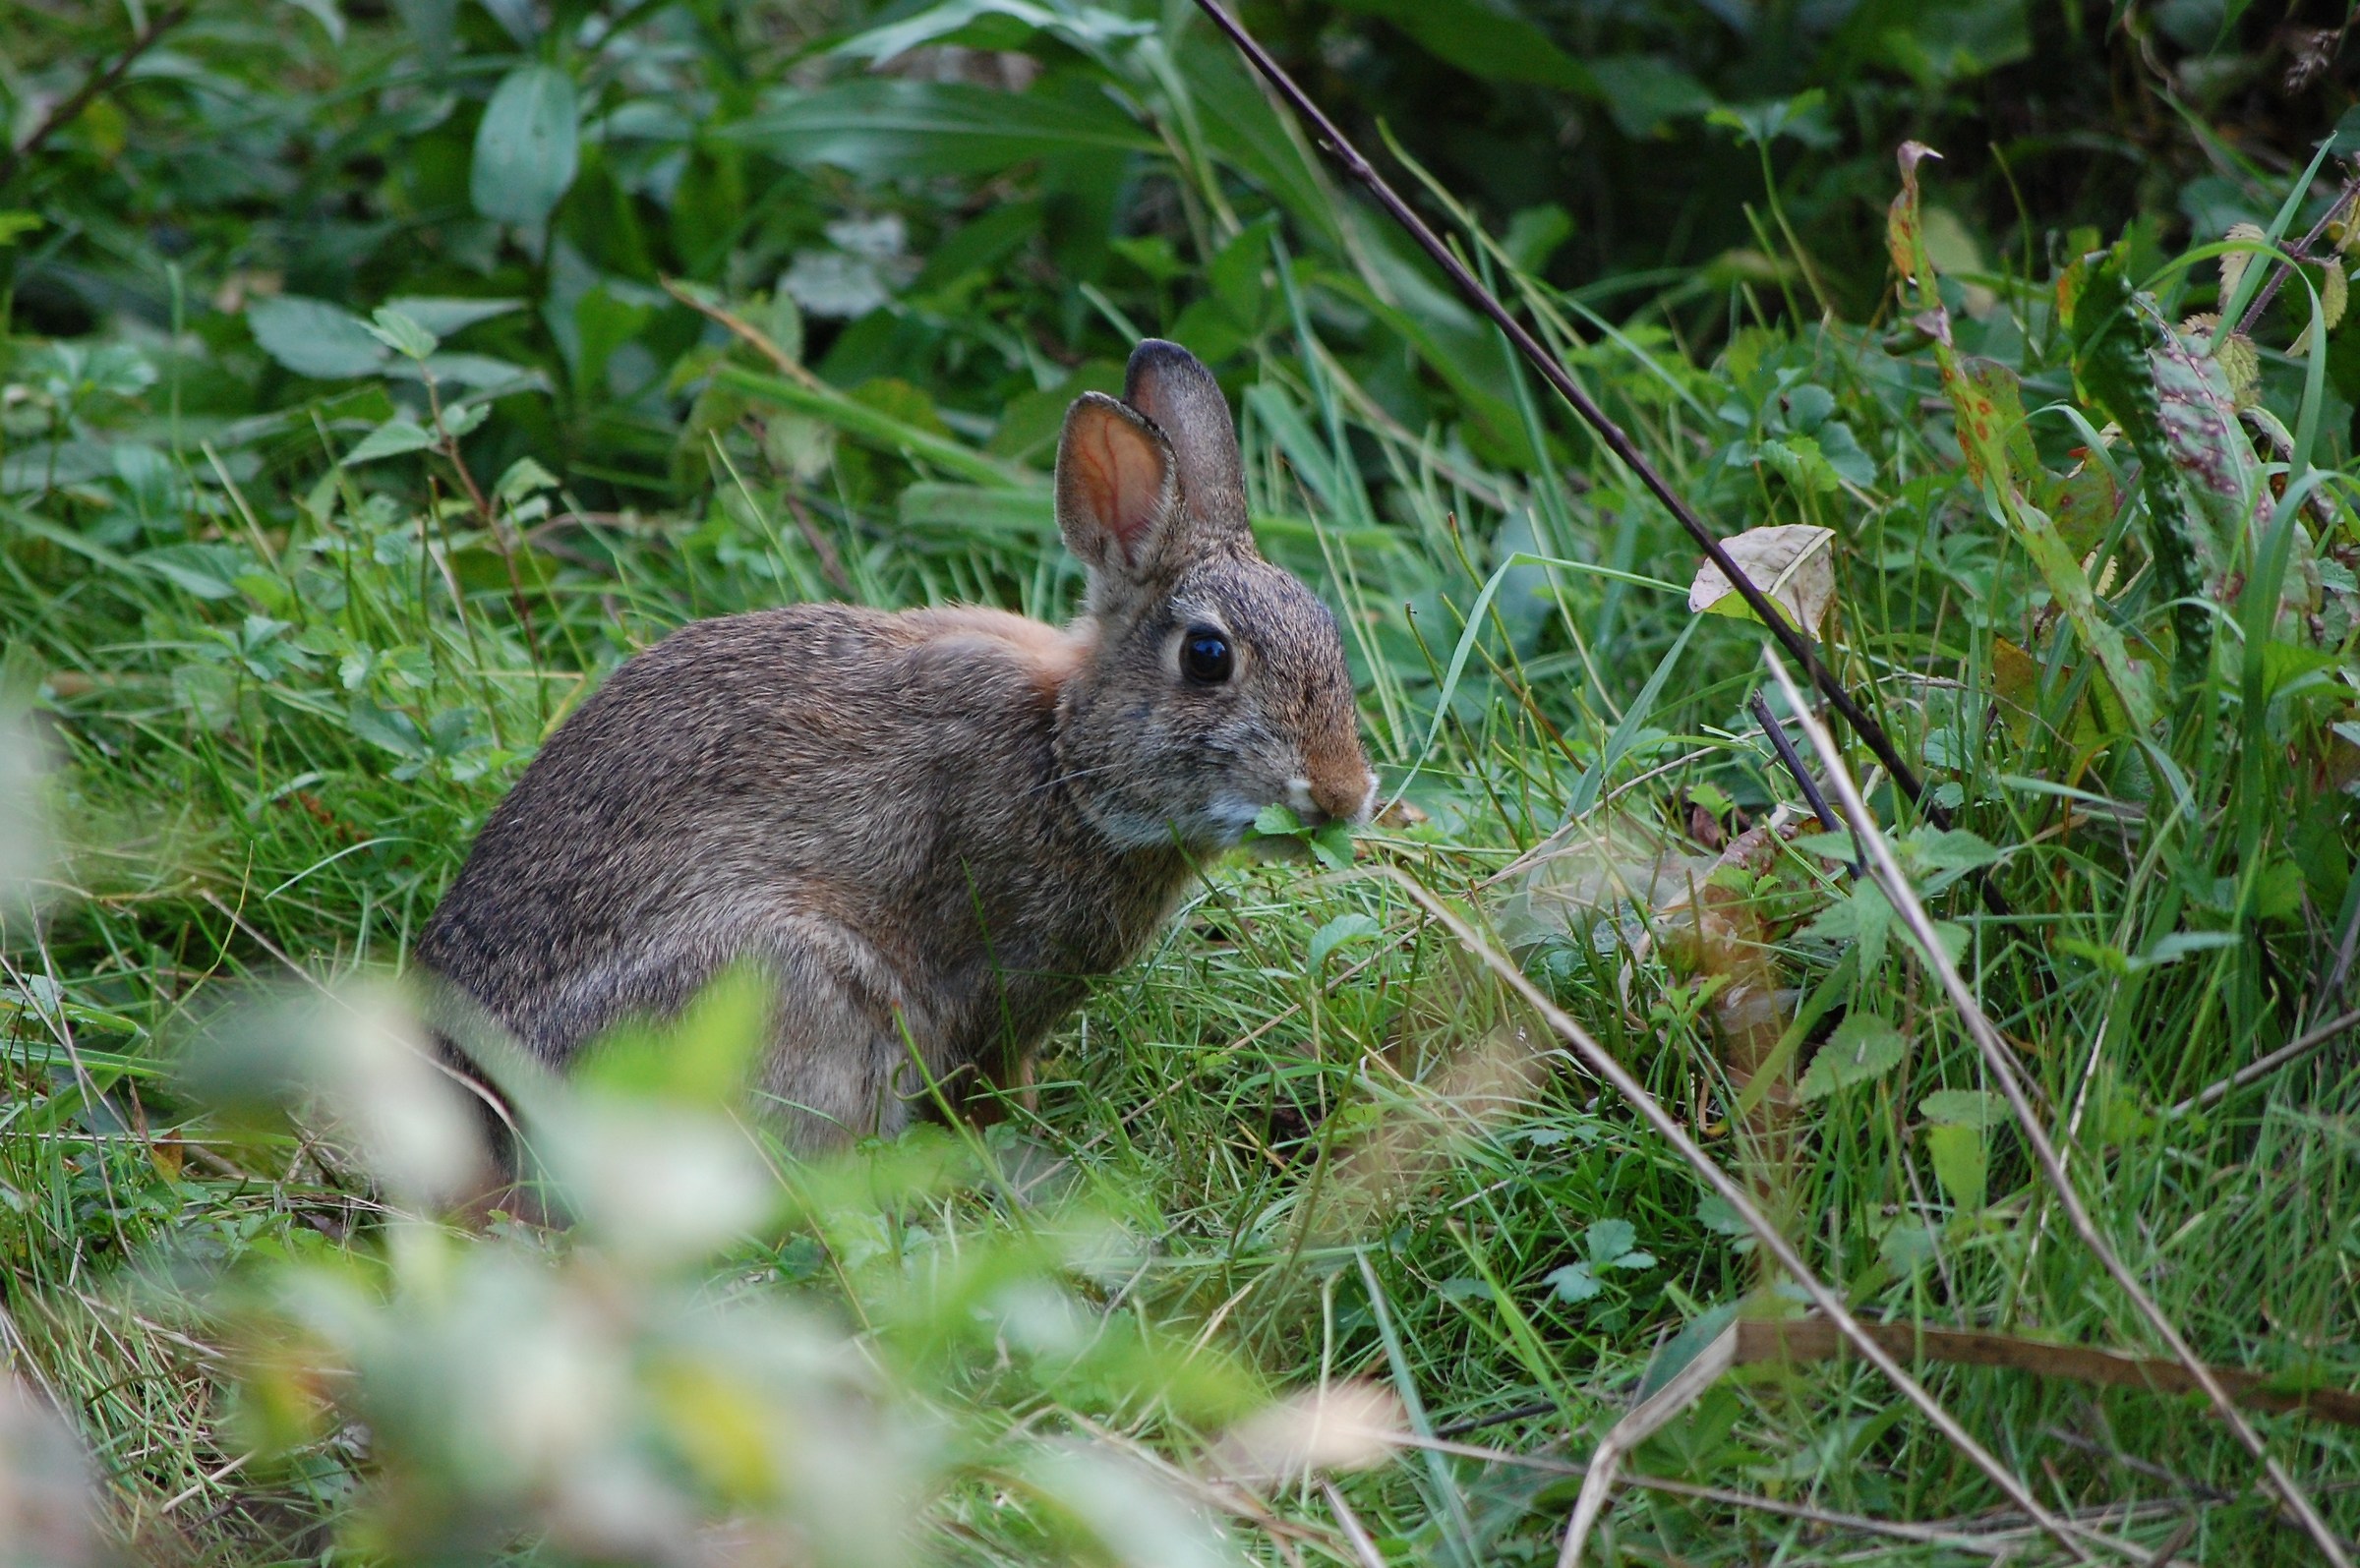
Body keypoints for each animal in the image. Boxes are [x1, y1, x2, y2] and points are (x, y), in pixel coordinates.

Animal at [416, 339, 1377, 1151]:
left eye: (1329, 630)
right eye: (1207, 657)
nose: (1342, 793)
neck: (1065, 759)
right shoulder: (993, 976)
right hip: (786, 982)